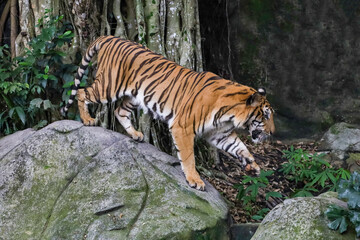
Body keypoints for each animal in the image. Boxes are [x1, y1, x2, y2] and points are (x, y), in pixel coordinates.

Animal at [62, 35, 276, 191]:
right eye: (266, 115)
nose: (273, 132)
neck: (229, 115)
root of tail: (110, 37)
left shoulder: (220, 133)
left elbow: (240, 146)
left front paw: (252, 164)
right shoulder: (183, 127)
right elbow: (188, 157)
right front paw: (195, 180)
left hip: (134, 96)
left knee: (118, 110)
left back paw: (135, 134)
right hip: (108, 86)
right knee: (82, 92)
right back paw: (88, 119)